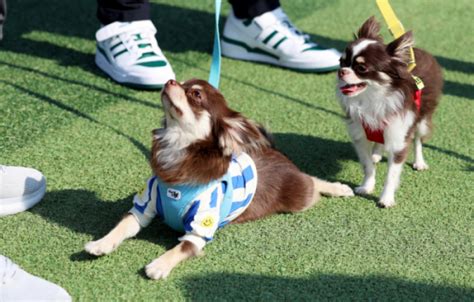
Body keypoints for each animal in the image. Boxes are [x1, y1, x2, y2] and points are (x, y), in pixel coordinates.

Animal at [85, 78, 354, 280]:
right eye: (181, 81)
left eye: (195, 94)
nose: (169, 80)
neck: (177, 149)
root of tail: (273, 151)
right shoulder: (144, 205)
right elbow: (123, 226)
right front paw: (101, 243)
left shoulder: (200, 228)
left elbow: (180, 247)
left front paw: (159, 265)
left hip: (300, 197)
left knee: (312, 181)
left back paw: (339, 188)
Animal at [336, 17, 442, 208]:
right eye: (341, 62)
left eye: (361, 68)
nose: (341, 71)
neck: (372, 99)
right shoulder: (360, 137)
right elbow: (368, 167)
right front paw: (367, 186)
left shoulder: (399, 139)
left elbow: (391, 175)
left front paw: (386, 198)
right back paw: (377, 154)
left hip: (422, 120)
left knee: (418, 140)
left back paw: (419, 162)